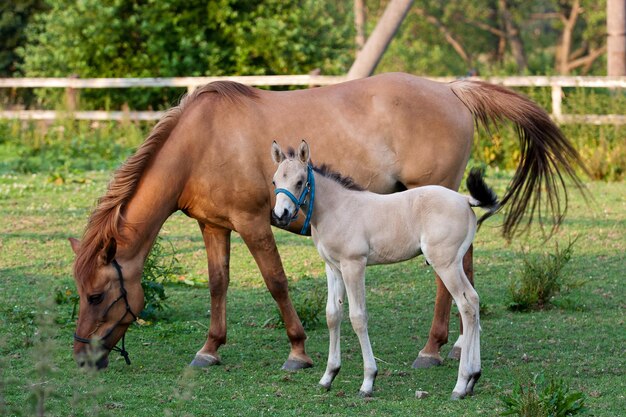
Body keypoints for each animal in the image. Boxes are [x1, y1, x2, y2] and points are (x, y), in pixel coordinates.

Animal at [68, 72, 584, 370]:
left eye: (96, 295)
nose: (81, 355)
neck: (202, 140)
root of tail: (450, 90)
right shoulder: (214, 227)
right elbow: (218, 284)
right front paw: (209, 349)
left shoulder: (253, 223)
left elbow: (276, 282)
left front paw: (297, 351)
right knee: (467, 271)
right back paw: (458, 346)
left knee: (448, 281)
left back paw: (433, 350)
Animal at [268, 141, 498, 398]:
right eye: (275, 182)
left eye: (299, 182)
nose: (281, 215)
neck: (337, 208)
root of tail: (464, 199)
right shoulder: (333, 268)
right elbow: (332, 316)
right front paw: (328, 376)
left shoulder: (354, 265)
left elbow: (358, 317)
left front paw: (368, 381)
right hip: (454, 264)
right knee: (474, 301)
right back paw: (473, 378)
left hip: (445, 264)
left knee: (466, 306)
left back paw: (460, 384)